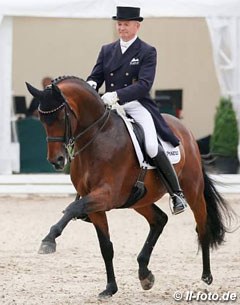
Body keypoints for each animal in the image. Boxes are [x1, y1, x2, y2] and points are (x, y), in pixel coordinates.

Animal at [25, 75, 232, 296]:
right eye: (41, 119)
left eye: (59, 117)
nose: (56, 161)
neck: (98, 136)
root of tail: (185, 131)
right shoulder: (95, 205)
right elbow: (106, 247)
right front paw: (110, 288)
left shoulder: (106, 195)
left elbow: (73, 208)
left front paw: (49, 240)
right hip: (139, 200)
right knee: (159, 220)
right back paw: (144, 274)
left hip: (193, 191)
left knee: (202, 227)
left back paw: (206, 276)